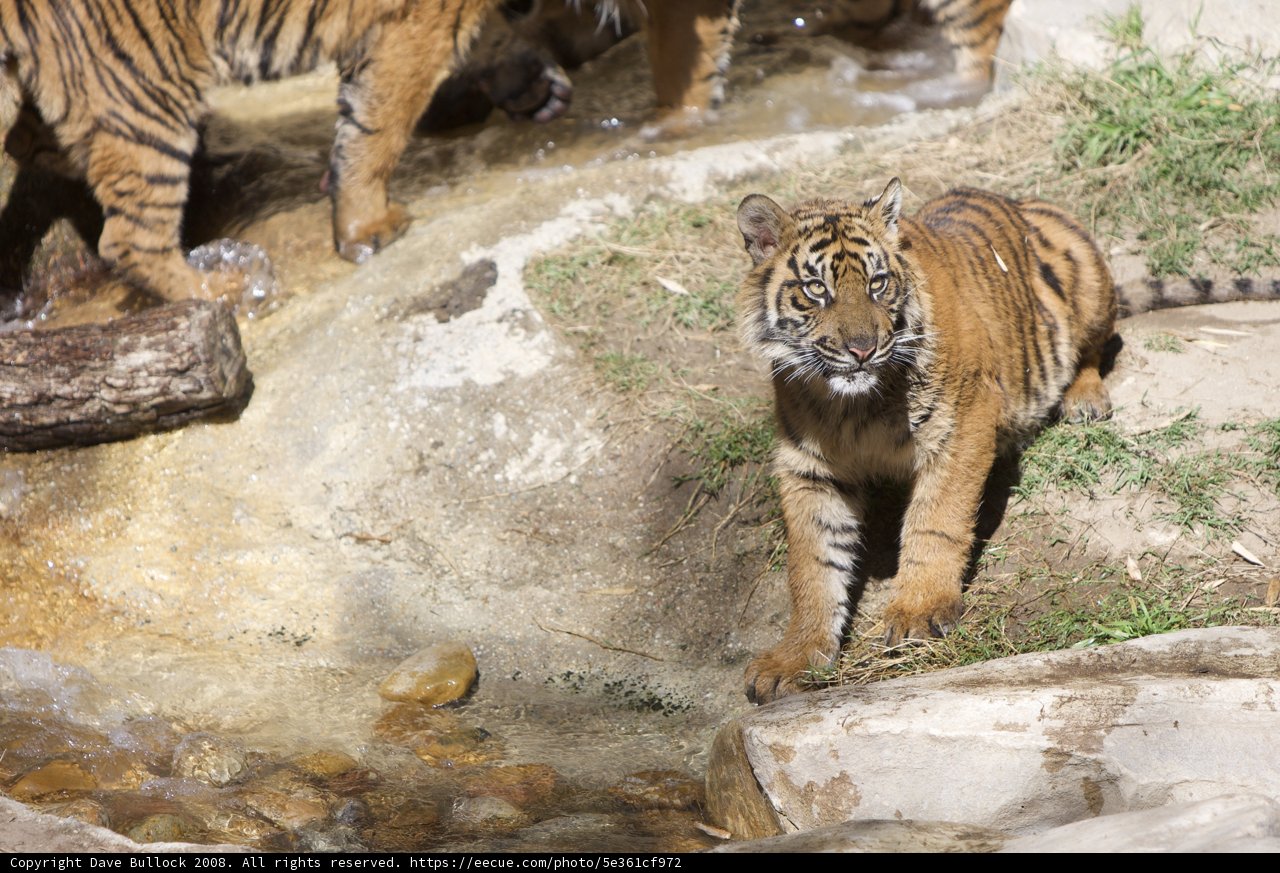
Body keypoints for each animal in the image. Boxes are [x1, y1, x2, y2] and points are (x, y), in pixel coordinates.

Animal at [0, 0, 505, 302]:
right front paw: (367, 231)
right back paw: (225, 289)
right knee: (128, 238)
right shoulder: (419, 25)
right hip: (147, 91)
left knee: (33, 148)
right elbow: (378, 129)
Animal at [734, 178, 1118, 704]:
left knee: (1093, 349)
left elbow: (936, 521)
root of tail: (1020, 201)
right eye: (817, 290)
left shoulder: (964, 421)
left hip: (1089, 283)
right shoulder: (809, 469)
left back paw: (1084, 399)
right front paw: (796, 657)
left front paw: (917, 611)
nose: (862, 349)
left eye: (877, 283)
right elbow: (813, 565)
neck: (853, 404)